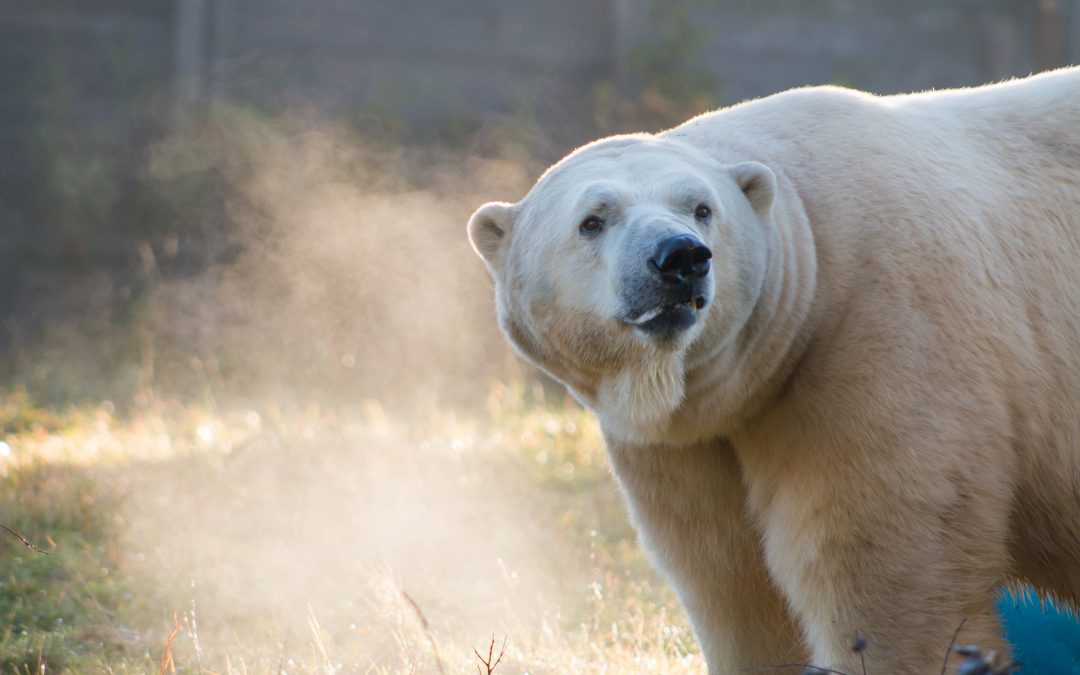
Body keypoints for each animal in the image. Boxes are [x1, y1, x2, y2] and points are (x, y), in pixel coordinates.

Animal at [466, 69, 1080, 673]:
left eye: (701, 208)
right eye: (592, 221)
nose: (680, 257)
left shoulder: (877, 346)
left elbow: (886, 575)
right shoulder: (687, 445)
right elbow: (733, 586)